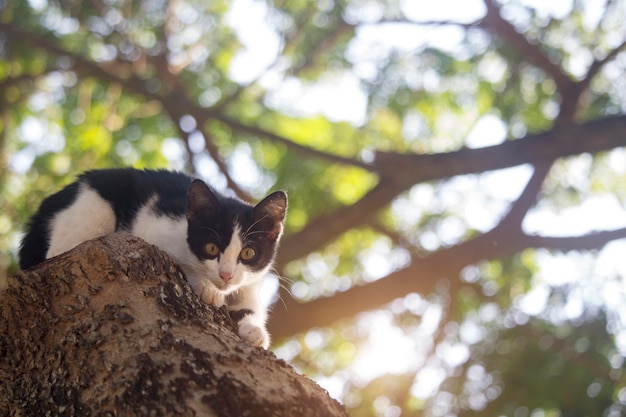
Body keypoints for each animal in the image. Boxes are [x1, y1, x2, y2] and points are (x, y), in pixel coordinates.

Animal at [17, 167, 286, 348]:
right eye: (211, 248)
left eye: (248, 253)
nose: (226, 275)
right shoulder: (154, 225)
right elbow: (181, 261)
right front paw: (208, 289)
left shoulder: (251, 280)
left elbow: (249, 305)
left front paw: (254, 329)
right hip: (92, 209)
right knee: (58, 248)